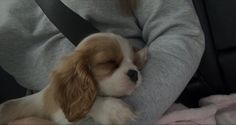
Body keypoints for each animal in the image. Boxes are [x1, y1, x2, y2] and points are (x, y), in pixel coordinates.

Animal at [0, 32, 148, 124]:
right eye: (109, 62)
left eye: (133, 61)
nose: (134, 73)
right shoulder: (60, 116)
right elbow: (90, 103)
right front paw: (115, 110)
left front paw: (142, 54)